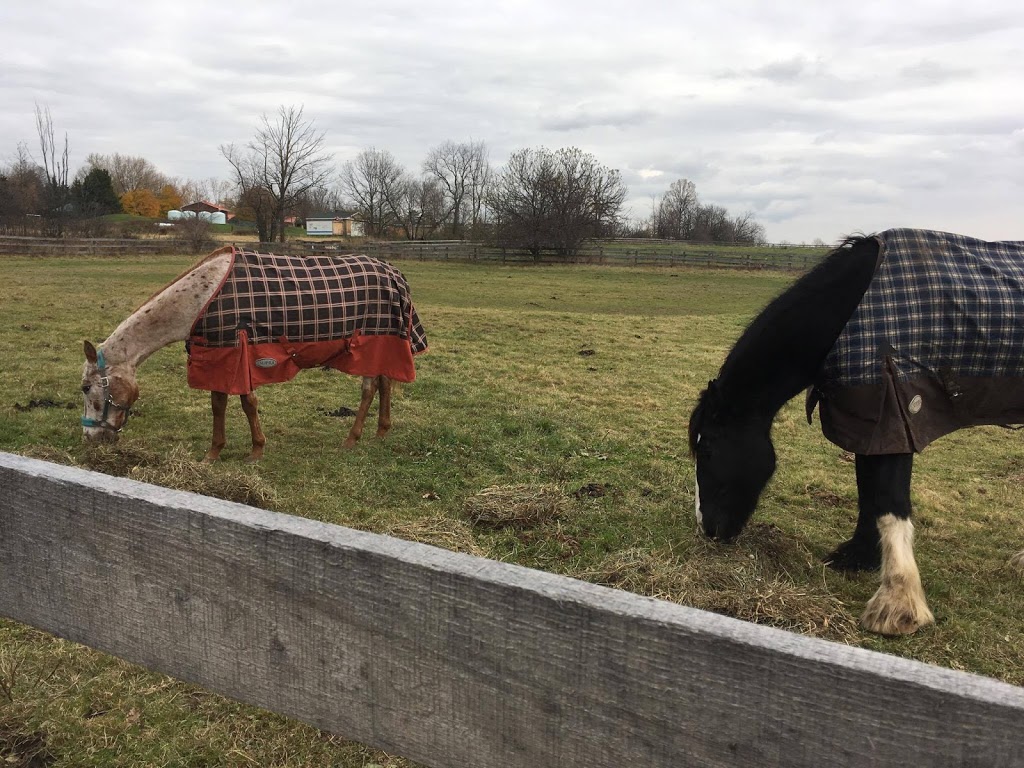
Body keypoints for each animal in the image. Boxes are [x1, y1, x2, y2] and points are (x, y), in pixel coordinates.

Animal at [81, 249, 428, 460]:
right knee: (384, 383)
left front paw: (256, 451)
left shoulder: (239, 353)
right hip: (384, 343)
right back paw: (381, 432)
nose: (90, 439)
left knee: (369, 388)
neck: (202, 299)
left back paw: (352, 439)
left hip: (373, 343)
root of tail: (395, 273)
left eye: (86, 387)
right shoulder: (218, 356)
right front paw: (214, 453)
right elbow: (218, 405)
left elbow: (247, 403)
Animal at [688, 228, 1024, 638]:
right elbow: (869, 492)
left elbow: (888, 499)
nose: (707, 529)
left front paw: (898, 603)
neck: (853, 312)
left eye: (707, 449)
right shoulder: (867, 420)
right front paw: (859, 557)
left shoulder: (897, 410)